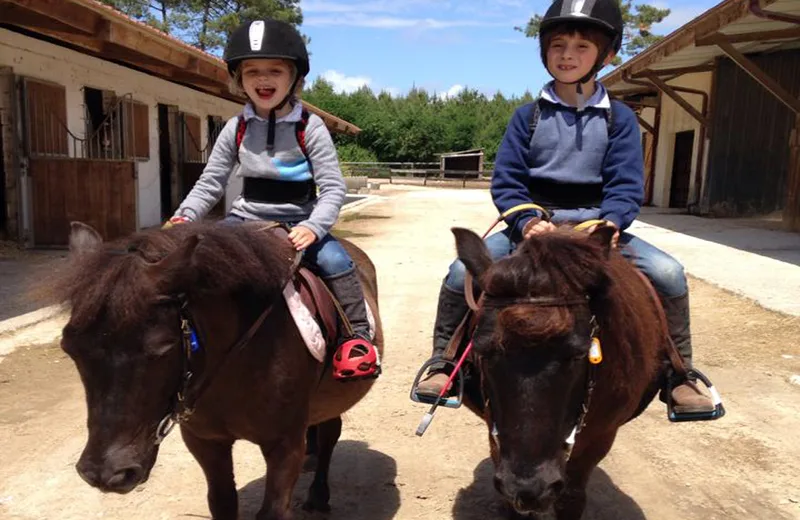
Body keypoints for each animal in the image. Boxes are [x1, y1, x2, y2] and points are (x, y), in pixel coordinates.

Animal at [57, 220, 382, 520]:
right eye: (69, 348)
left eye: (162, 349)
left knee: (329, 434)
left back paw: (318, 495)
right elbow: (222, 502)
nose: (104, 473)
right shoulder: (205, 442)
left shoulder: (285, 445)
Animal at [454, 225, 664, 516]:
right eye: (482, 352)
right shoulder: (494, 430)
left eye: (579, 354)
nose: (528, 489)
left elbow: (571, 497)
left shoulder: (601, 437)